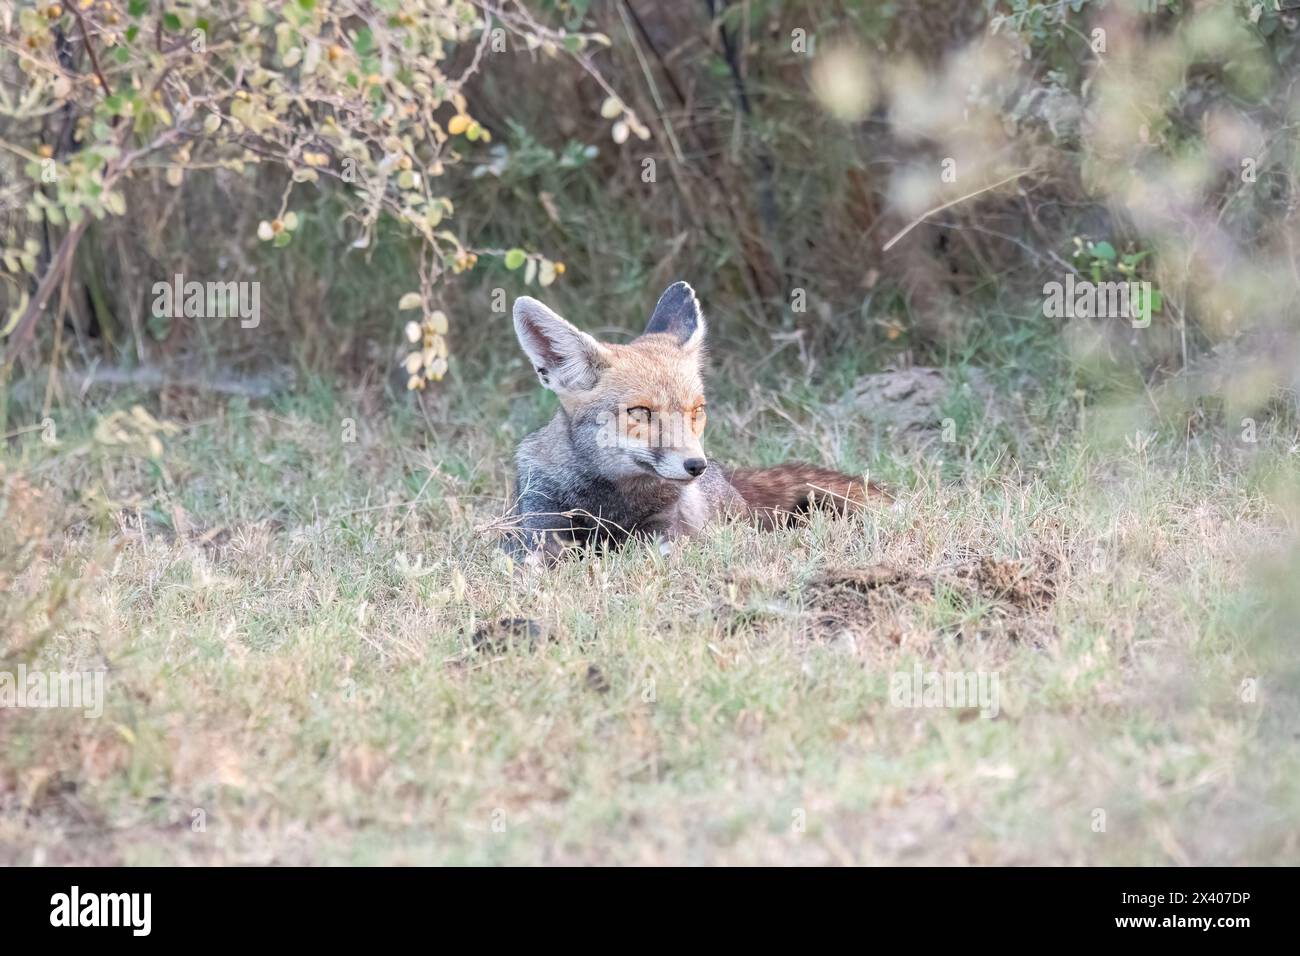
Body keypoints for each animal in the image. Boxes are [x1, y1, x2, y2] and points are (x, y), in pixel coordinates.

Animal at [502, 280, 890, 562]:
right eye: (640, 412)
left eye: (696, 411)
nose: (696, 465)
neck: (611, 506)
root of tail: (728, 476)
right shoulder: (541, 528)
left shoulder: (664, 530)